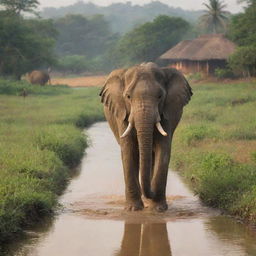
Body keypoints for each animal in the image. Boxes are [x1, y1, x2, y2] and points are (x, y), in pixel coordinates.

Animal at [100, 62, 192, 212]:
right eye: (128, 96)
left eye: (160, 96)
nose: (151, 193)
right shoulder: (122, 114)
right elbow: (128, 151)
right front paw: (133, 209)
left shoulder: (167, 112)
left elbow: (163, 150)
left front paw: (158, 208)